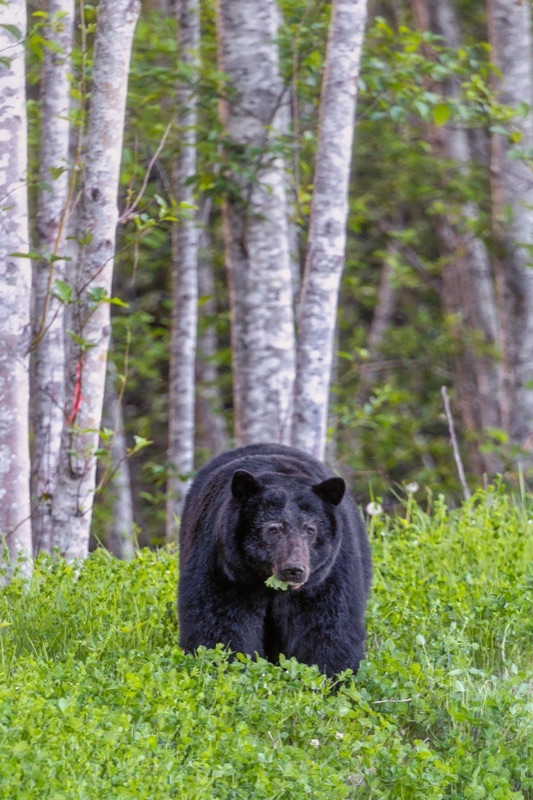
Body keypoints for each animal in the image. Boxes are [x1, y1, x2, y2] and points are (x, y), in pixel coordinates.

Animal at [178, 443, 372, 678]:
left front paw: (331, 675)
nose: (294, 569)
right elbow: (218, 618)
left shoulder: (327, 575)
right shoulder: (224, 566)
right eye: (273, 529)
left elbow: (326, 624)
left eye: (310, 529)